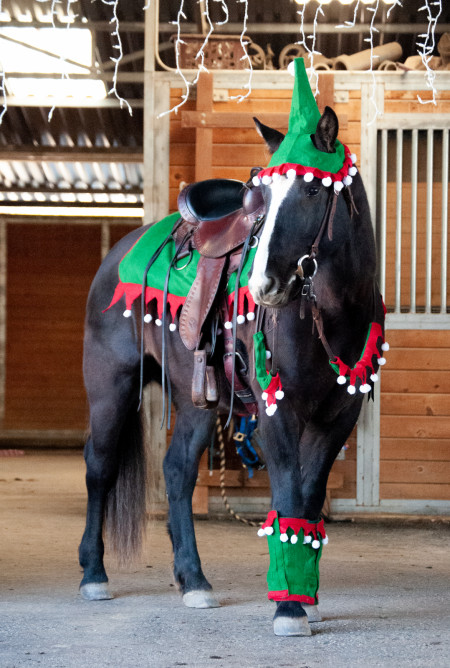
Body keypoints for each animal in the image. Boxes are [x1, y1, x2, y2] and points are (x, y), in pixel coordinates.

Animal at [79, 105, 384, 636]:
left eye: (311, 190)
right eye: (260, 195)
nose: (264, 285)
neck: (332, 311)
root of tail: (120, 252)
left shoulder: (337, 417)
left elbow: (310, 495)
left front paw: (306, 597)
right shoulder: (277, 411)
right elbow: (288, 492)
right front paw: (288, 608)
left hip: (196, 401)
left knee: (178, 470)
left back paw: (194, 581)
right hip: (110, 387)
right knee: (100, 468)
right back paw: (94, 575)